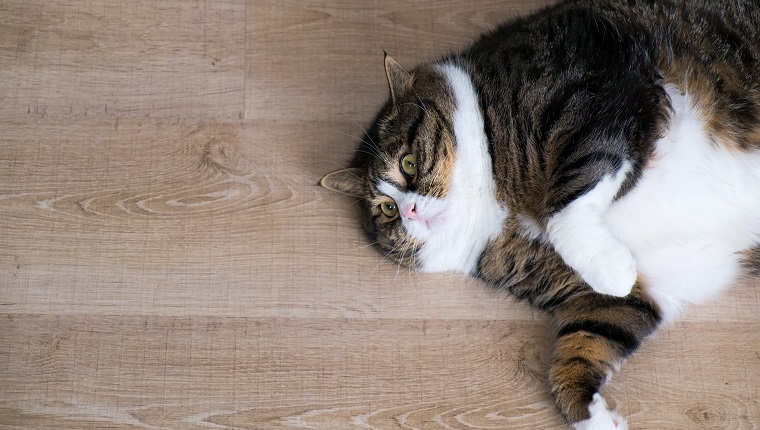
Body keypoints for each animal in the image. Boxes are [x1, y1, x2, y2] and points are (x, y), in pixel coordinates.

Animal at [318, 1, 760, 428]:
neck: (494, 199)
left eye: (408, 164)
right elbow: (585, 342)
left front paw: (611, 268)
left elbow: (565, 207)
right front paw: (592, 416)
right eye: (386, 209)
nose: (408, 209)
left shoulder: (594, 86)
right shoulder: (627, 291)